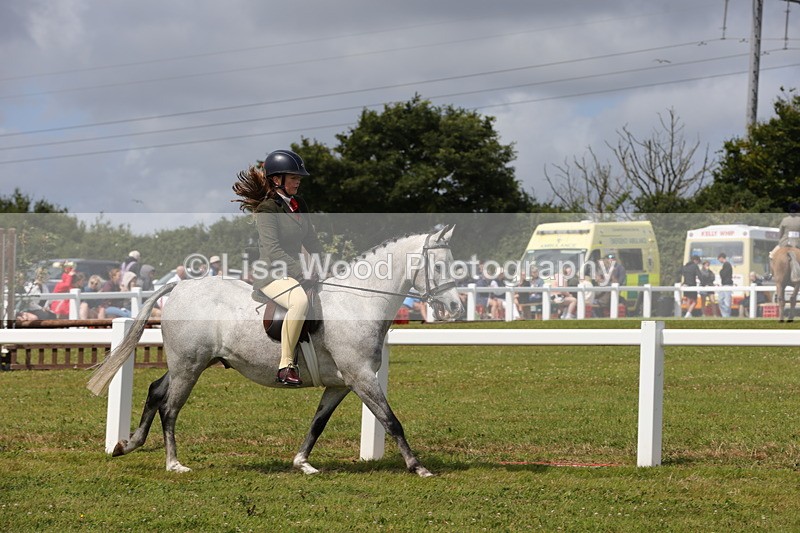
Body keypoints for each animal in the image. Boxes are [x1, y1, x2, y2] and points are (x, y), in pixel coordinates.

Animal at [87, 225, 463, 477]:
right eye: (438, 266)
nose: (456, 307)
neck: (357, 302)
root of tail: (179, 287)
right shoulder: (361, 377)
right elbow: (390, 420)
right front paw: (418, 466)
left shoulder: (341, 383)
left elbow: (318, 422)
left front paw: (303, 463)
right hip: (189, 367)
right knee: (170, 407)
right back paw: (174, 463)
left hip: (190, 364)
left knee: (155, 390)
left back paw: (127, 444)